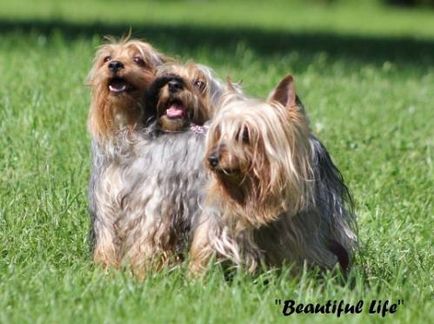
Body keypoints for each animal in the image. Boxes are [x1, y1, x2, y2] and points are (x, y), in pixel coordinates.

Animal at [86, 37, 166, 268]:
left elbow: (146, 233)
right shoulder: (106, 192)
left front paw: (140, 268)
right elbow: (106, 233)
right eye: (107, 58)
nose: (114, 65)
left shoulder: (150, 197)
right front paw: (105, 266)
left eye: (139, 59)